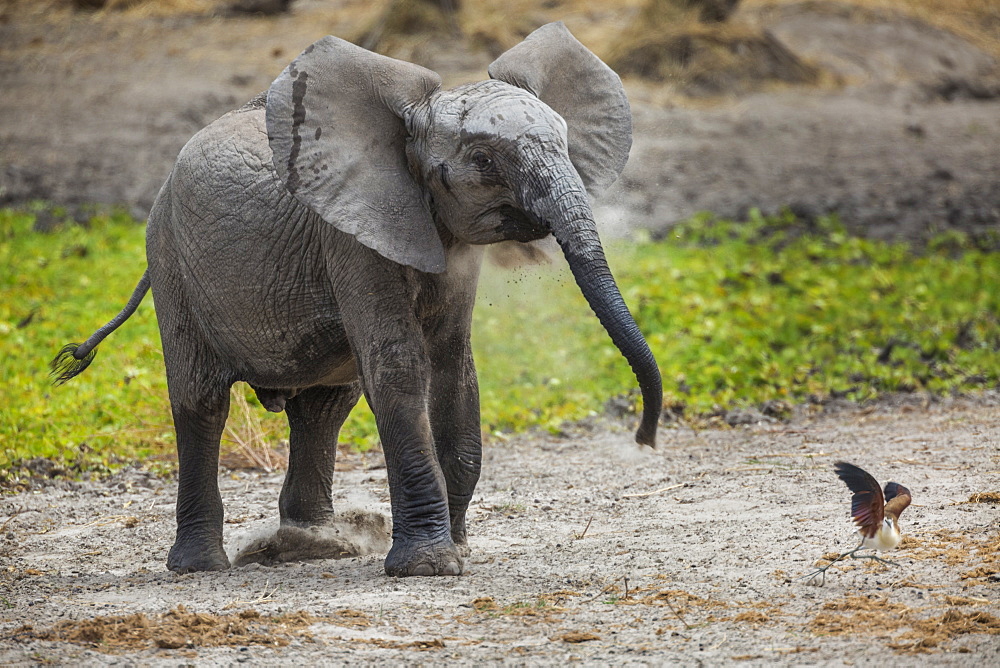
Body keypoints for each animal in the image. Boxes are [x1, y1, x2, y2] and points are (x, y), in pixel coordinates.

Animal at [52, 20, 664, 576]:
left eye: (565, 142)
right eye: (485, 161)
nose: (645, 437)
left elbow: (454, 370)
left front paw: (458, 551)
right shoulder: (348, 239)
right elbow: (400, 370)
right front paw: (429, 567)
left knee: (324, 407)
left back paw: (312, 546)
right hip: (170, 258)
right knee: (202, 400)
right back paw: (201, 566)